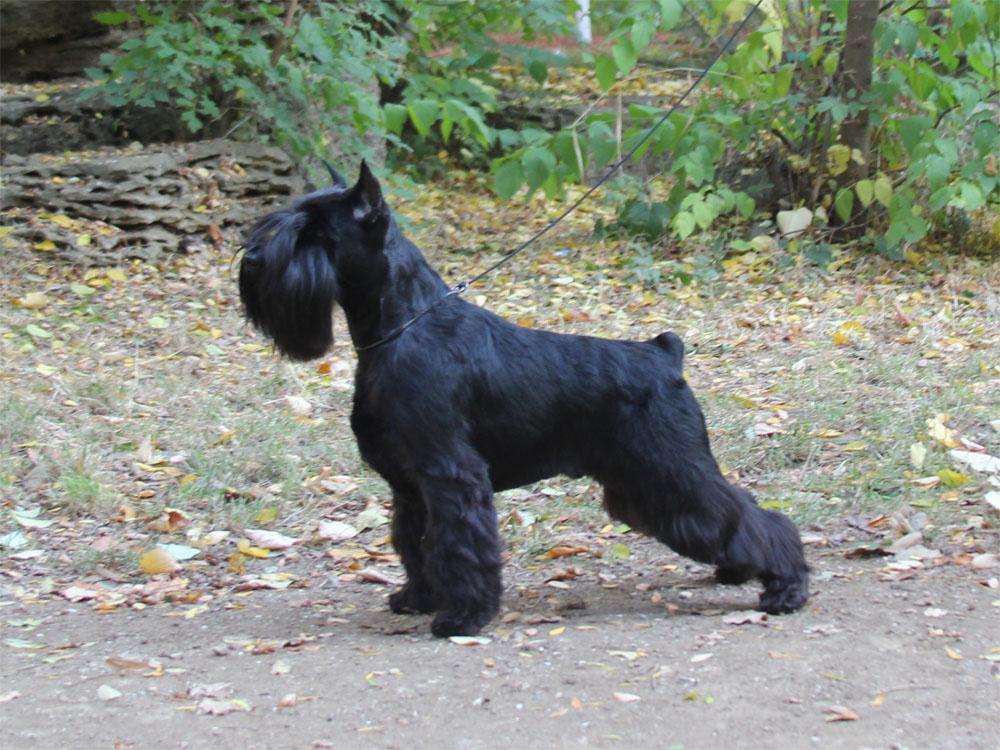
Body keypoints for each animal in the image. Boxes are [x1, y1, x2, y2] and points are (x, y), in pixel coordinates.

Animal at [238, 162, 810, 637]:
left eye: (315, 233)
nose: (252, 257)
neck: (403, 326)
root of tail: (665, 353)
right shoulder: (411, 486)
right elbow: (417, 545)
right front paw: (418, 598)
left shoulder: (453, 476)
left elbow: (460, 546)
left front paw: (463, 617)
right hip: (644, 480)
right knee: (734, 514)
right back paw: (739, 569)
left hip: (669, 468)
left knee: (756, 518)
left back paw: (787, 588)